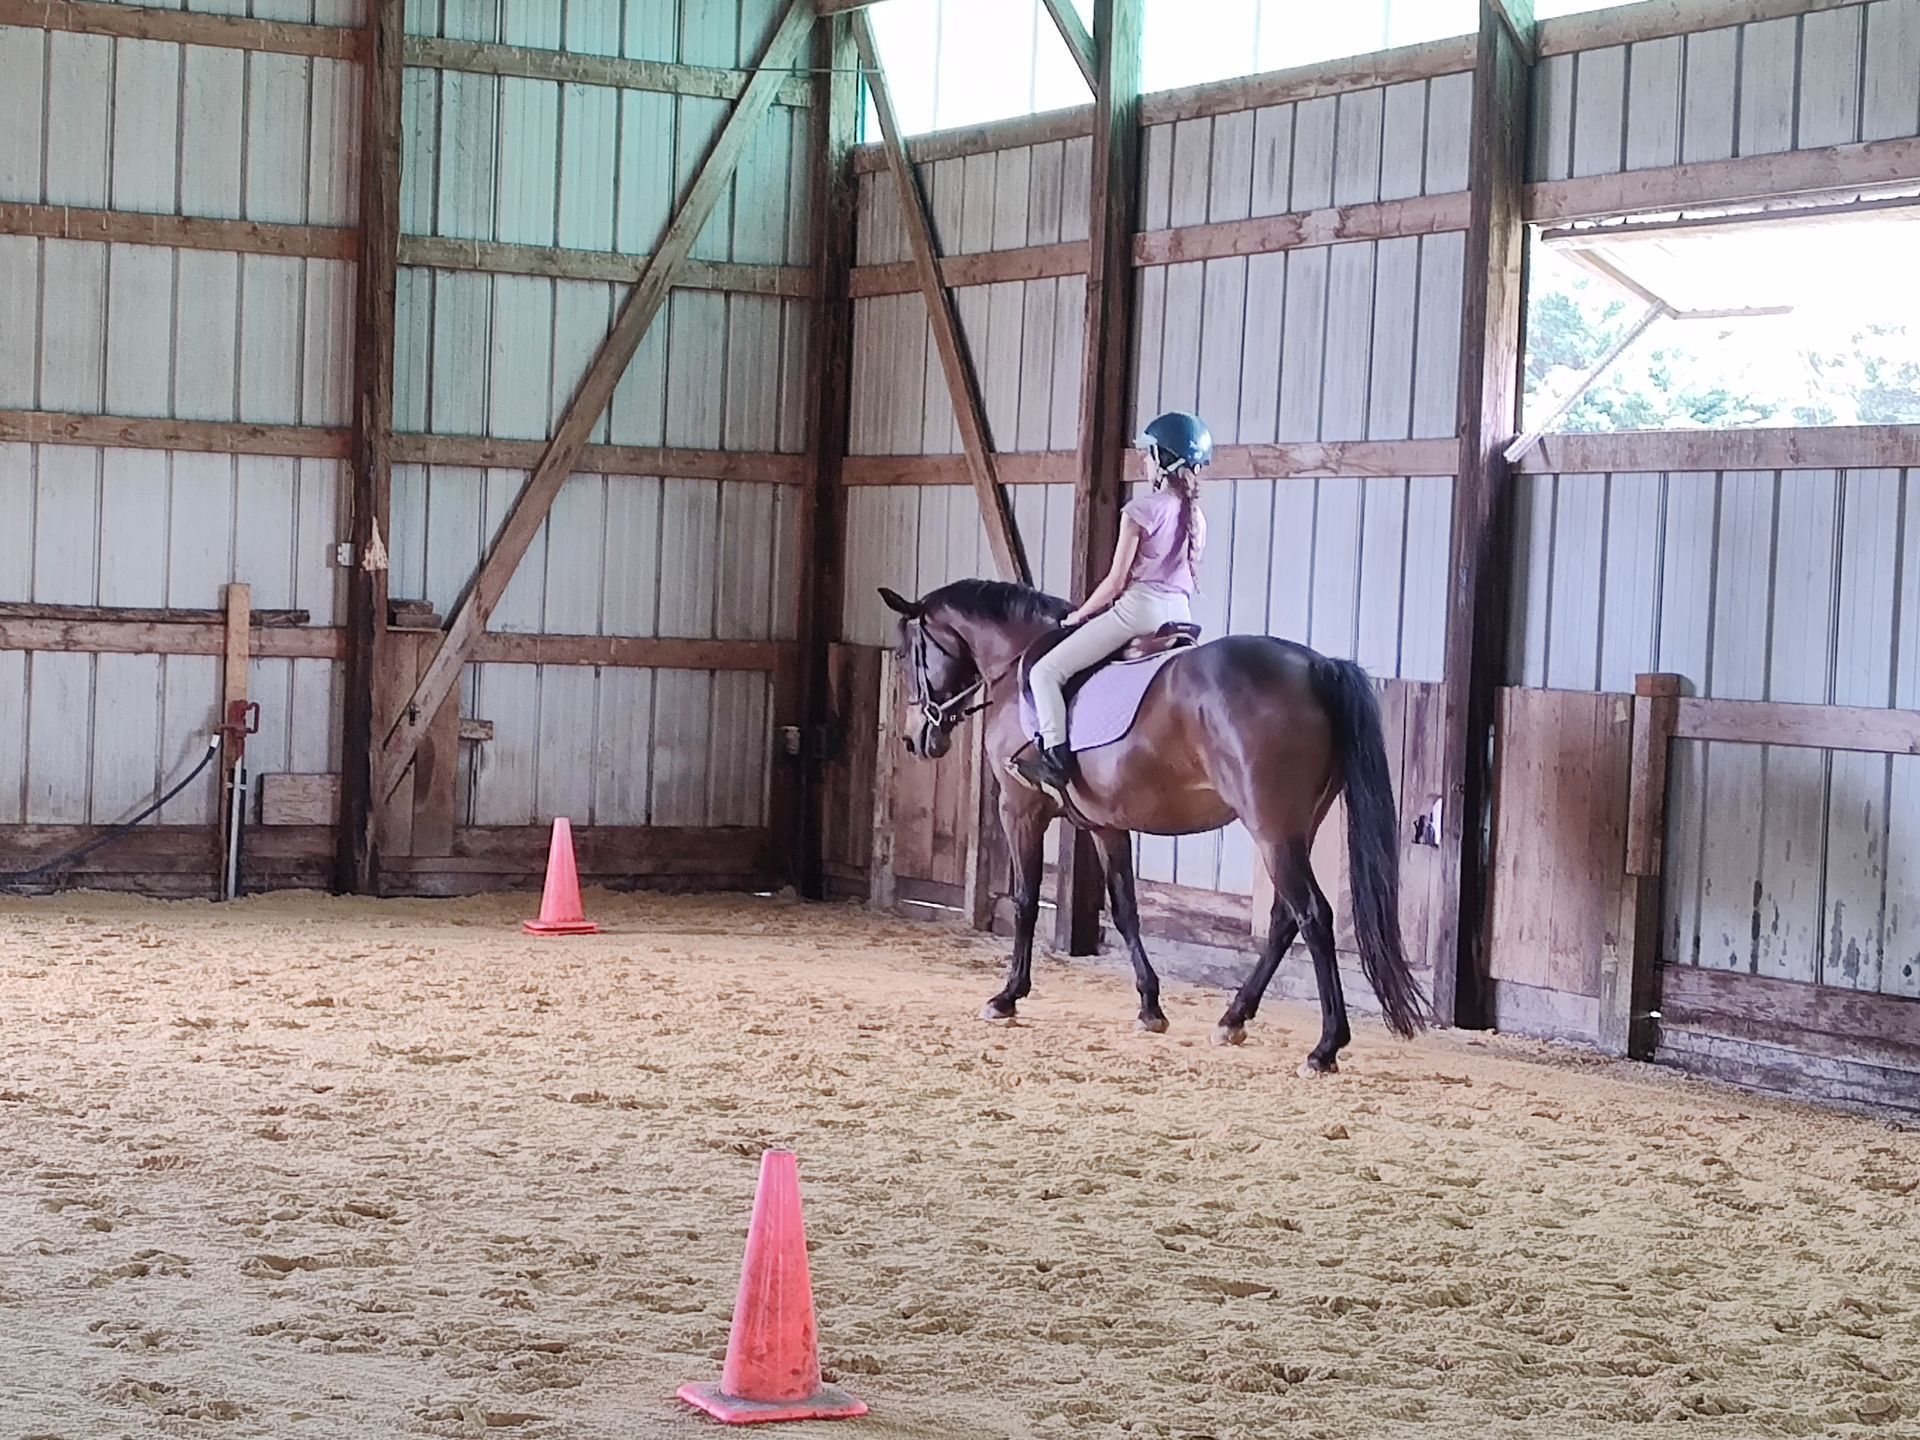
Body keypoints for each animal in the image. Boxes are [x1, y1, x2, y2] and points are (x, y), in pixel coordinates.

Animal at [877, 578, 1428, 1075]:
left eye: (908, 654)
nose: (914, 738)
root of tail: (1315, 666)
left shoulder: (1020, 809)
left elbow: (1026, 902)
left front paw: (1008, 995)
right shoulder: (1105, 824)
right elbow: (1125, 910)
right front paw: (1150, 1006)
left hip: (1271, 829)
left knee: (1312, 915)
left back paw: (1325, 1047)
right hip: (1296, 829)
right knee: (1284, 919)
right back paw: (1233, 1018)